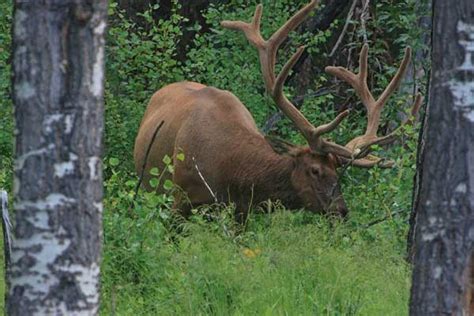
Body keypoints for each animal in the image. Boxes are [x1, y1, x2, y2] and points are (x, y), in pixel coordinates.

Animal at [132, 0, 418, 222]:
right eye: (314, 170)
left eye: (338, 172)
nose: (341, 211)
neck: (228, 171)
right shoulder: (179, 200)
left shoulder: (241, 212)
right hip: (148, 184)